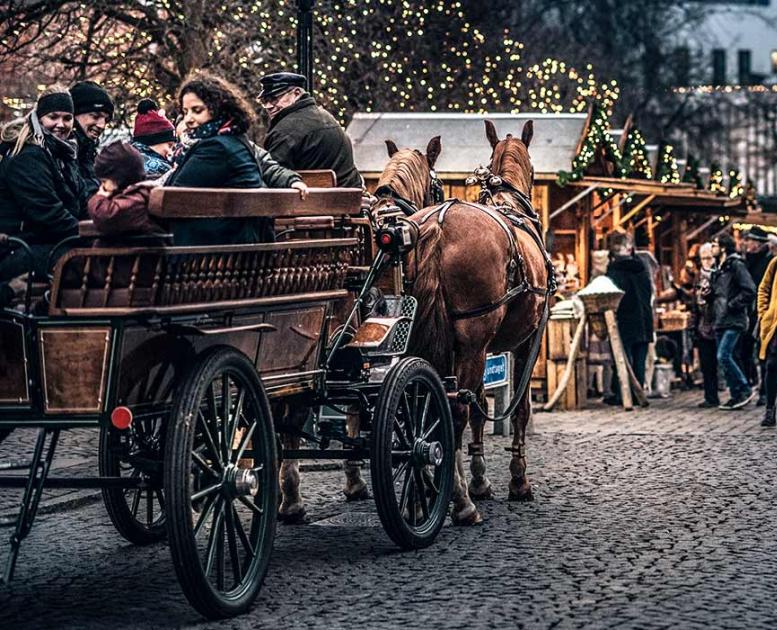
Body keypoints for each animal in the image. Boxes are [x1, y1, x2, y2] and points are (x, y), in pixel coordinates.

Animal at [348, 121, 548, 524]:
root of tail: (440, 225)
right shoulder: (524, 341)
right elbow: (517, 409)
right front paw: (516, 482)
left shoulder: (484, 348)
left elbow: (479, 406)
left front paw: (480, 479)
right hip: (471, 342)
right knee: (454, 410)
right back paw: (460, 502)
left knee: (421, 408)